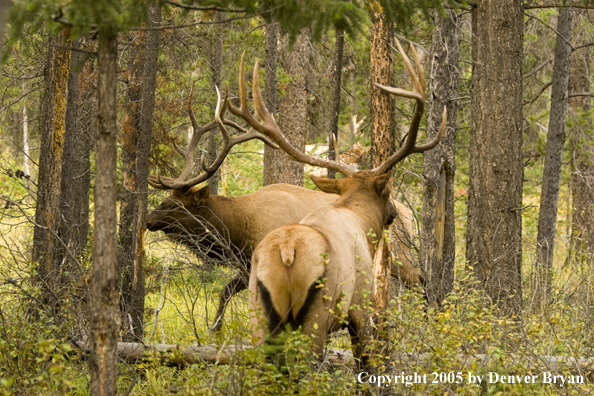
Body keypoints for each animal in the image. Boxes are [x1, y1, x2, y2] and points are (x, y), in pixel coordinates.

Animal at [230, 40, 444, 366]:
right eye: (387, 194)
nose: (394, 213)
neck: (359, 221)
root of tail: (287, 253)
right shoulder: (362, 307)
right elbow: (365, 363)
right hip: (317, 313)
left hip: (259, 312)